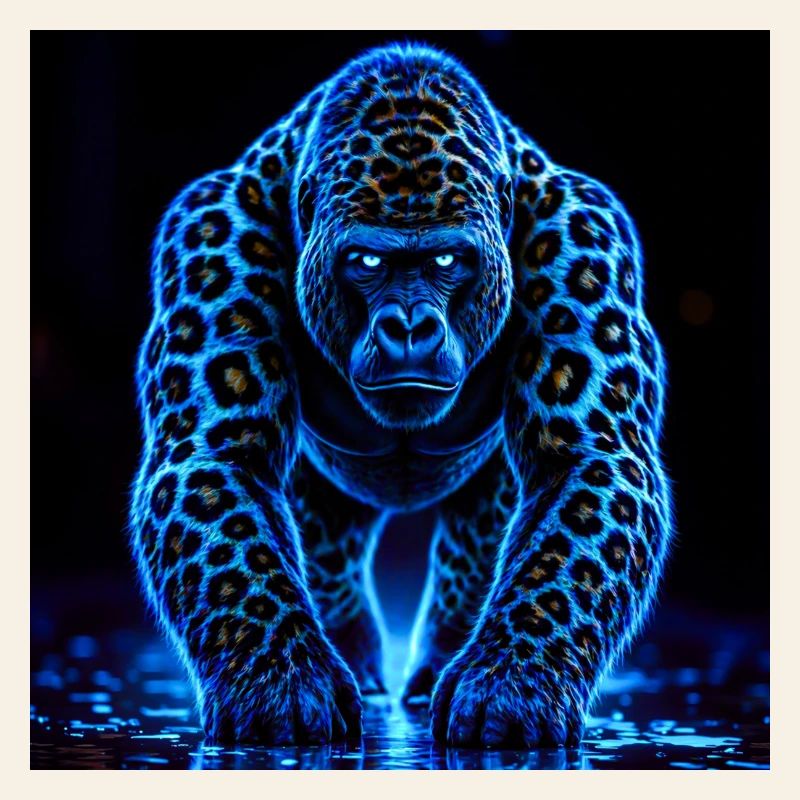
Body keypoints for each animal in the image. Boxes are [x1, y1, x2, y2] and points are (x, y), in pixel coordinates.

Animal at [129, 41, 672, 749]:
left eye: (445, 261)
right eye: (367, 262)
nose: (409, 326)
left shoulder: (586, 240)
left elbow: (578, 488)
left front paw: (511, 683)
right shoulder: (211, 236)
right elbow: (225, 495)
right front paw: (281, 682)